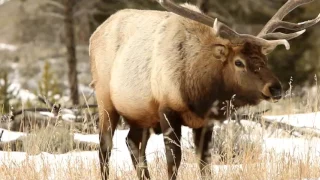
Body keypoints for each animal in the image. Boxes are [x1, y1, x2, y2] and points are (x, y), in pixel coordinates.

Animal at [89, 0, 320, 179]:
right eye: (238, 62)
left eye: (265, 59)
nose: (275, 88)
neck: (200, 94)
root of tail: (94, 34)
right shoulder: (167, 109)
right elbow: (174, 161)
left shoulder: (206, 121)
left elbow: (205, 163)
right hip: (105, 101)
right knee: (105, 148)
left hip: (140, 115)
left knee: (132, 142)